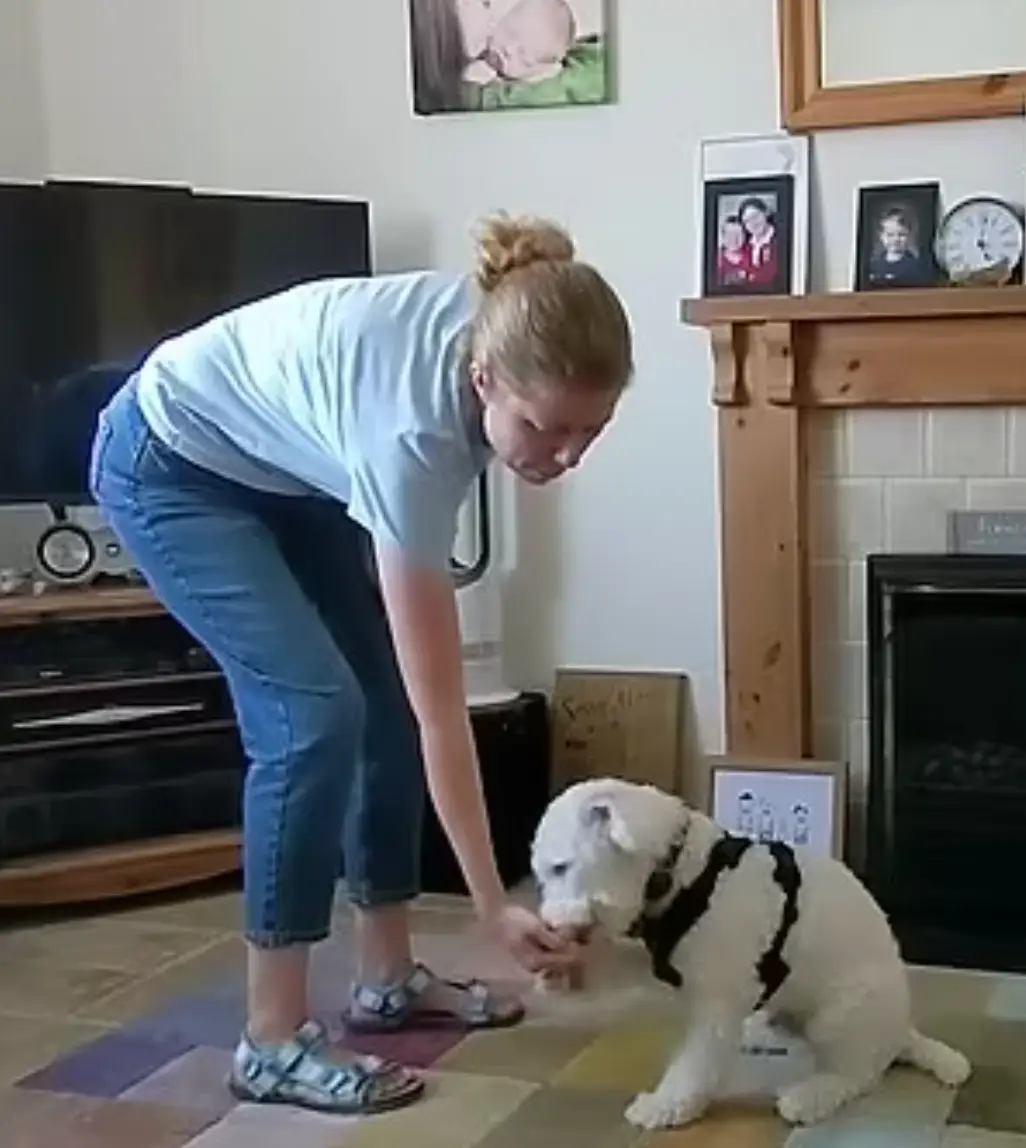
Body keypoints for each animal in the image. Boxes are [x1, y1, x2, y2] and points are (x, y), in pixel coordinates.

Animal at [530, 777, 971, 1131]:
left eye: (560, 867)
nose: (551, 926)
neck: (685, 874)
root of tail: (901, 1031)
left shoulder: (716, 1004)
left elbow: (695, 1066)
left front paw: (665, 1106)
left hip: (841, 1015)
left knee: (858, 1074)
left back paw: (811, 1095)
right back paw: (758, 1032)